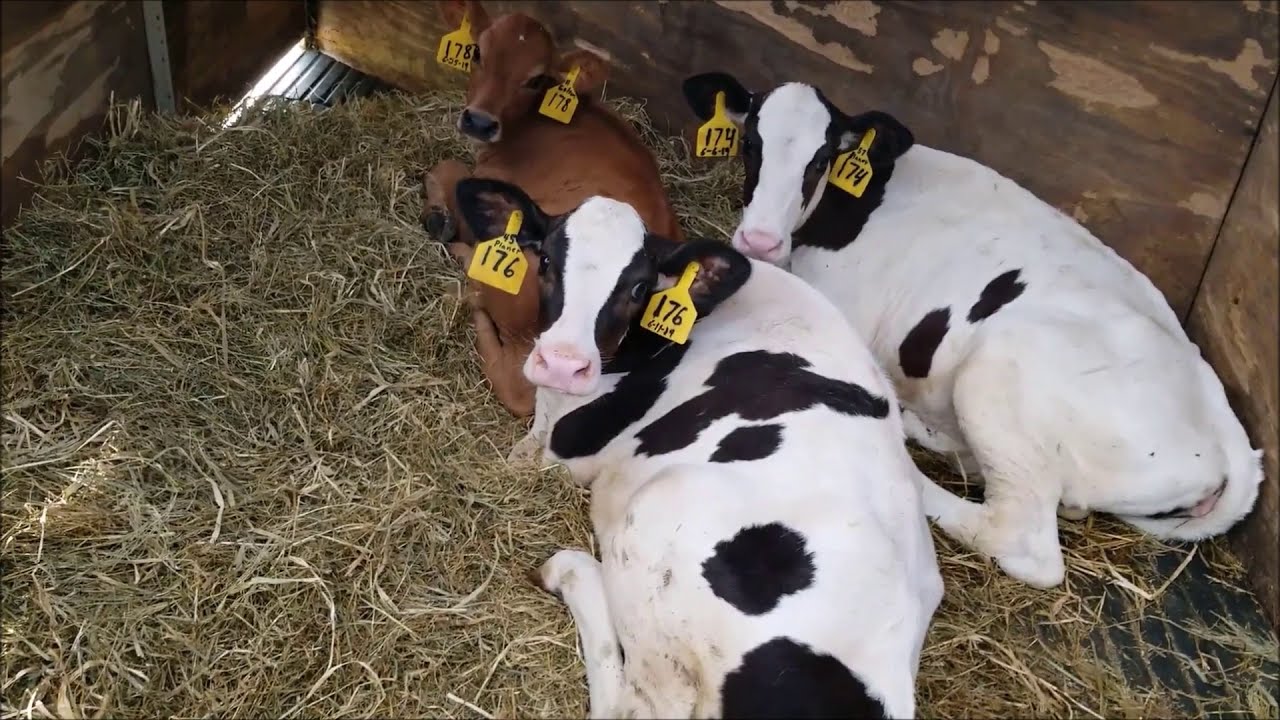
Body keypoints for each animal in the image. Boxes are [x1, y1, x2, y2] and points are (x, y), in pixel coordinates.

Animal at [421, 0, 682, 418]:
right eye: (478, 52)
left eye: (535, 79)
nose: (479, 121)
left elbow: (446, 169)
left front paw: (439, 216)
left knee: (514, 384)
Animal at [452, 175, 944, 718]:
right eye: (544, 262)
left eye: (638, 288)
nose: (562, 363)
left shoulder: (574, 444)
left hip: (661, 517)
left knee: (632, 704)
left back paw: (570, 571)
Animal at [680, 71, 1265, 590]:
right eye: (750, 144)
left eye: (820, 158)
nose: (759, 241)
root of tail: (1229, 435)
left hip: (1000, 371)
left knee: (1020, 538)